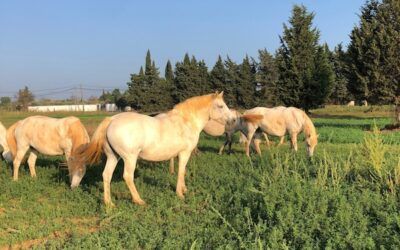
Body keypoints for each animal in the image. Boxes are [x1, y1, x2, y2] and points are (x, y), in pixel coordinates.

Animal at [79, 91, 233, 205]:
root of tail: (112, 120)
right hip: (130, 158)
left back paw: (109, 203)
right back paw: (139, 200)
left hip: (113, 157)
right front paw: (180, 194)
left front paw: (184, 189)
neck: (186, 121)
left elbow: (182, 171)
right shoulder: (184, 153)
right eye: (220, 106)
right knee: (128, 176)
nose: (233, 120)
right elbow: (181, 171)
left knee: (106, 175)